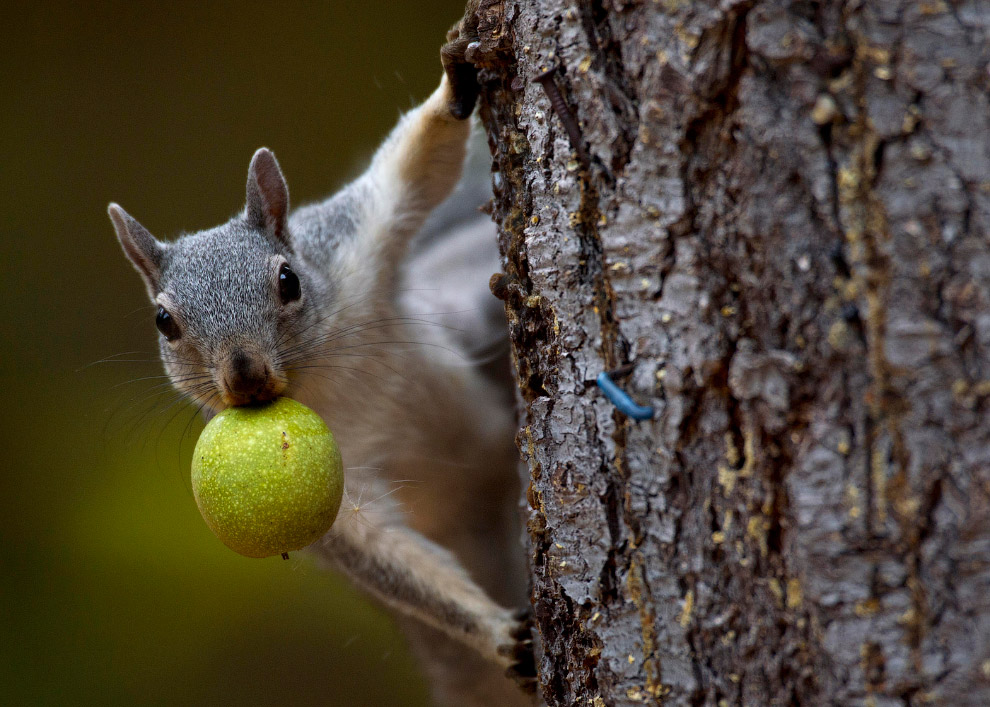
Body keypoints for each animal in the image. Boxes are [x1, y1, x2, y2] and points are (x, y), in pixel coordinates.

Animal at [107, 11, 540, 707]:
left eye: (289, 279)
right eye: (163, 321)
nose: (245, 377)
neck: (323, 379)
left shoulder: (355, 244)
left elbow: (413, 171)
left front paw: (455, 78)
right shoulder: (346, 502)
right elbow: (390, 560)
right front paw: (498, 631)